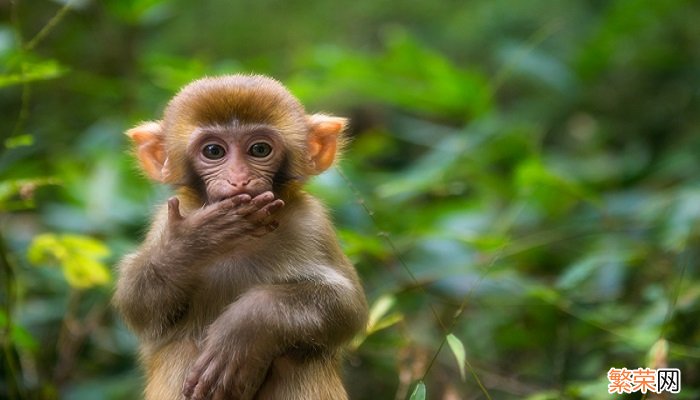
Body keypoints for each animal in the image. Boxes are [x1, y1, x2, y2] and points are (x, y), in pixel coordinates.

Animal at [112, 75, 370, 400]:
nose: (239, 179)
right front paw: (195, 240)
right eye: (213, 151)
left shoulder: (312, 224)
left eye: (259, 150)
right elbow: (138, 303)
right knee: (180, 348)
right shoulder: (166, 220)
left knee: (300, 360)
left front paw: (244, 329)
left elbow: (347, 306)